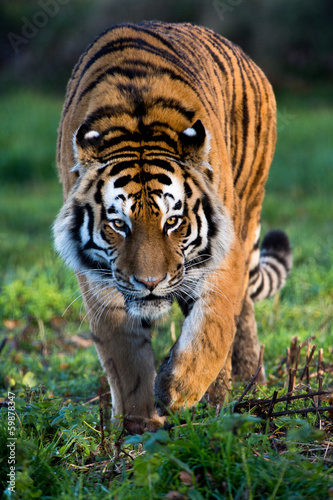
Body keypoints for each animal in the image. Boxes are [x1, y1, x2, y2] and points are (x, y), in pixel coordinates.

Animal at [53, 20, 290, 434]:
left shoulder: (223, 257)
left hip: (246, 214)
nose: (150, 283)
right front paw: (137, 424)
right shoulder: (100, 278)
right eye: (118, 224)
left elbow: (212, 329)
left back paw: (233, 391)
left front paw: (176, 390)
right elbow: (123, 353)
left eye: (173, 221)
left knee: (237, 310)